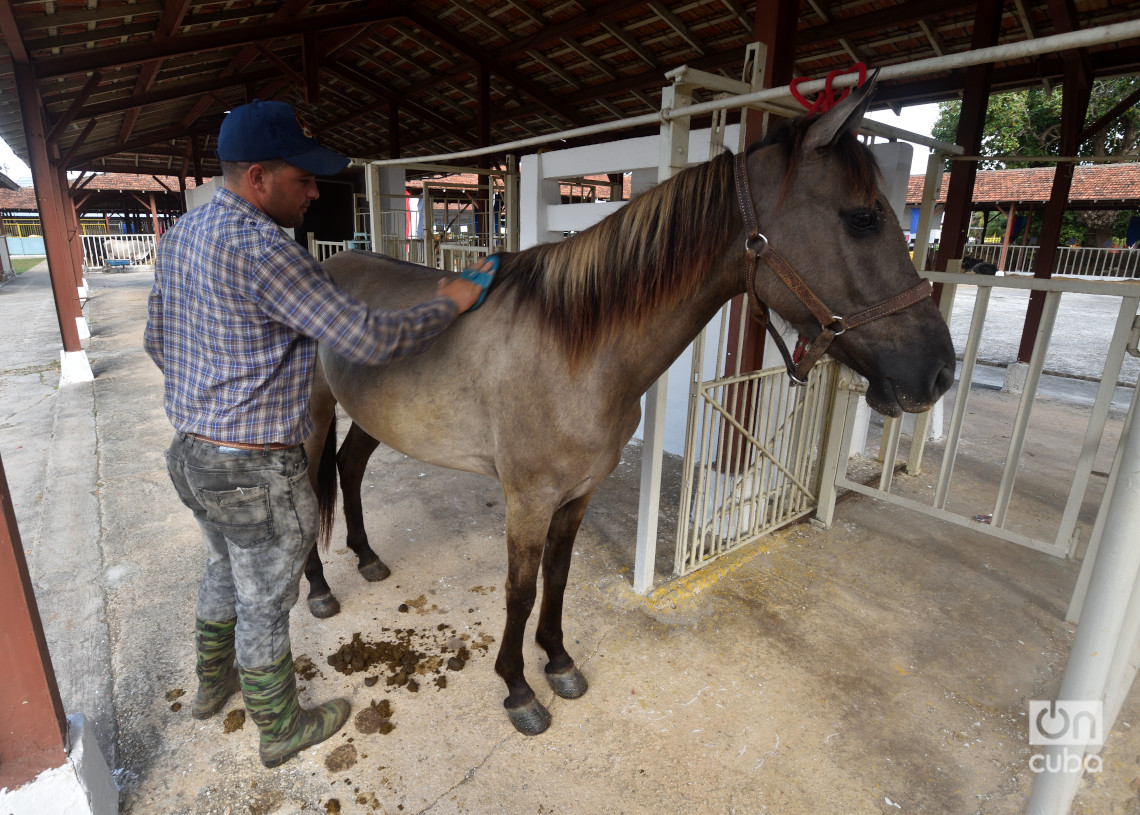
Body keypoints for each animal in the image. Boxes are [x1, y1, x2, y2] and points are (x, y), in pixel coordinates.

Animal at [300, 78, 953, 738]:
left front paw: (558, 661)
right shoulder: (528, 498)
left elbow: (558, 576)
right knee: (310, 490)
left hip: (373, 418)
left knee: (350, 467)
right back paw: (321, 590)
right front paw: (517, 688)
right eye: (863, 218)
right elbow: (519, 589)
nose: (939, 371)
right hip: (311, 418)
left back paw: (367, 558)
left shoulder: (579, 491)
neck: (575, 348)